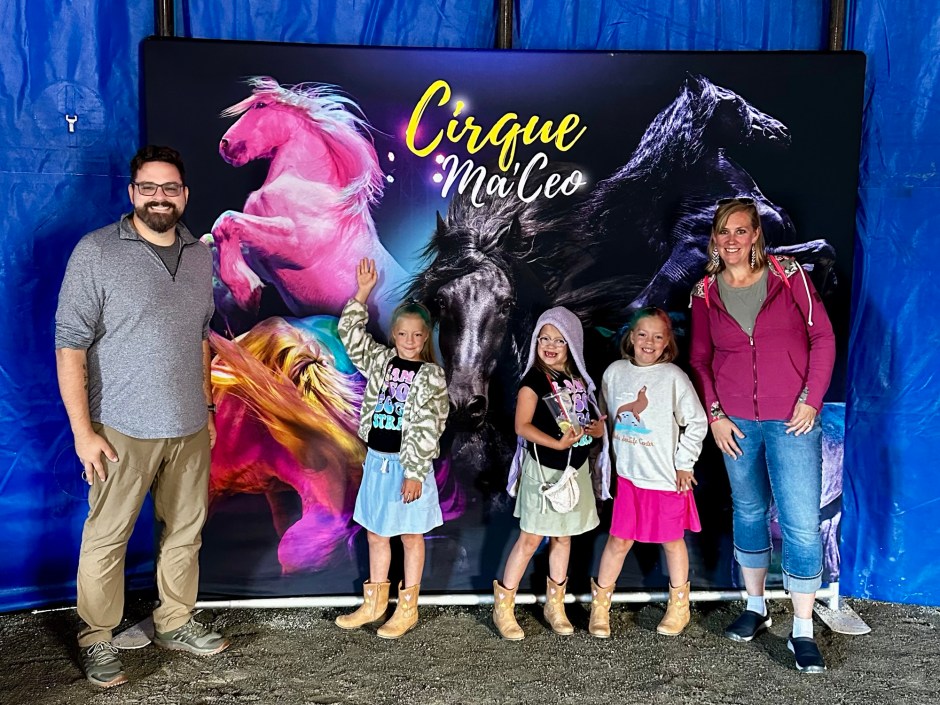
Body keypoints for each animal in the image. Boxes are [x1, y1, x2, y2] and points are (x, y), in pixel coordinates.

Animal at [206, 77, 407, 334]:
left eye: (260, 105)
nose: (226, 145)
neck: (305, 182)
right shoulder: (263, 258)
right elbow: (211, 241)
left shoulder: (294, 244)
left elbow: (226, 220)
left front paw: (246, 291)